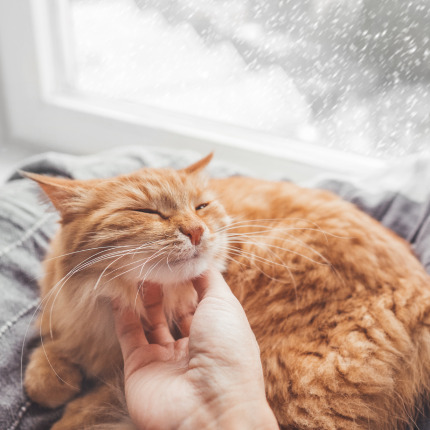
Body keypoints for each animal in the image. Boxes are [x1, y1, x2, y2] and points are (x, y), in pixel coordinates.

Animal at [24, 155, 430, 430]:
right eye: (147, 211)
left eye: (201, 206)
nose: (196, 230)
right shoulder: (68, 322)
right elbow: (46, 368)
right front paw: (54, 378)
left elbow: (97, 399)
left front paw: (70, 411)